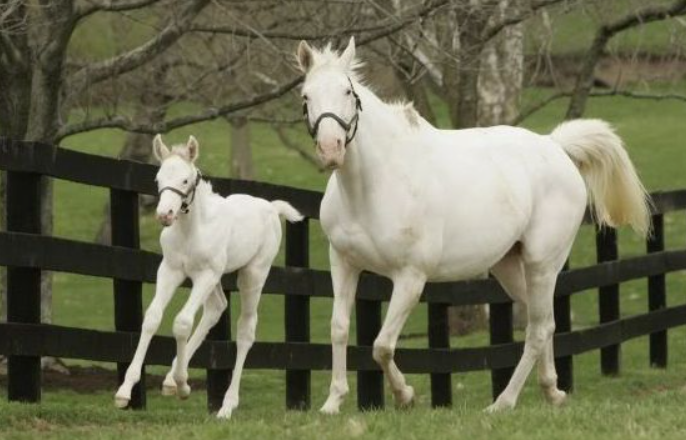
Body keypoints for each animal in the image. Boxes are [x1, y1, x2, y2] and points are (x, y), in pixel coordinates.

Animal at [115, 134, 304, 420]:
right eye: (158, 179)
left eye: (185, 180)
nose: (164, 214)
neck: (191, 230)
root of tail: (271, 207)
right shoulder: (170, 270)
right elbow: (152, 318)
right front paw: (125, 391)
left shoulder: (205, 275)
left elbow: (181, 322)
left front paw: (184, 385)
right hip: (215, 277)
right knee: (216, 308)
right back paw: (170, 380)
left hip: (251, 274)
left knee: (245, 329)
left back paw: (226, 405)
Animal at [296, 39, 656, 414]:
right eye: (306, 97)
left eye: (347, 91)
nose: (330, 149)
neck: (372, 186)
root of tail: (555, 146)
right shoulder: (344, 264)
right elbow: (339, 329)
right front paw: (333, 402)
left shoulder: (410, 277)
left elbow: (382, 345)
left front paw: (405, 396)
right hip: (509, 265)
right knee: (542, 321)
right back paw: (552, 391)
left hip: (542, 264)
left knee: (538, 329)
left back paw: (504, 402)